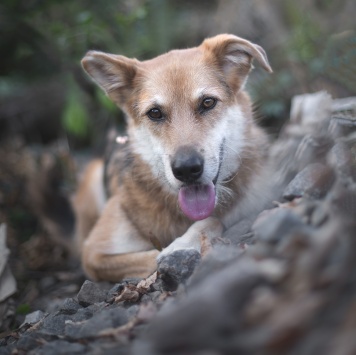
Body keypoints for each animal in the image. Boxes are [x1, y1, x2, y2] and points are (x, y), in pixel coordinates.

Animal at [73, 34, 272, 282]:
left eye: (208, 102)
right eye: (155, 113)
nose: (186, 169)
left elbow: (213, 220)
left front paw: (185, 243)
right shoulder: (93, 253)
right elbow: (155, 256)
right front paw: (179, 250)